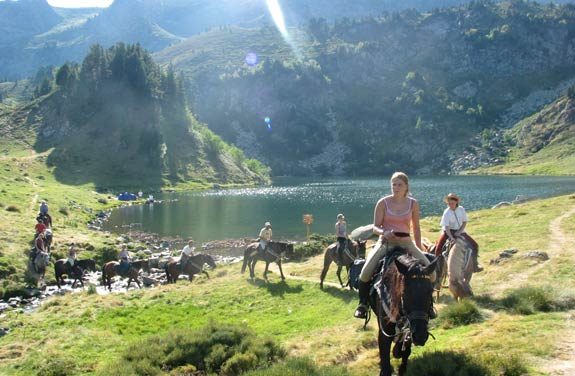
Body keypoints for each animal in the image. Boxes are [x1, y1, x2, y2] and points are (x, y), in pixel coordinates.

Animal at [372, 247, 438, 376]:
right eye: (405, 292)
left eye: (430, 291)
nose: (420, 336)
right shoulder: (384, 334)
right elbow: (385, 364)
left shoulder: (410, 330)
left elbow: (405, 352)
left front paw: (398, 353)